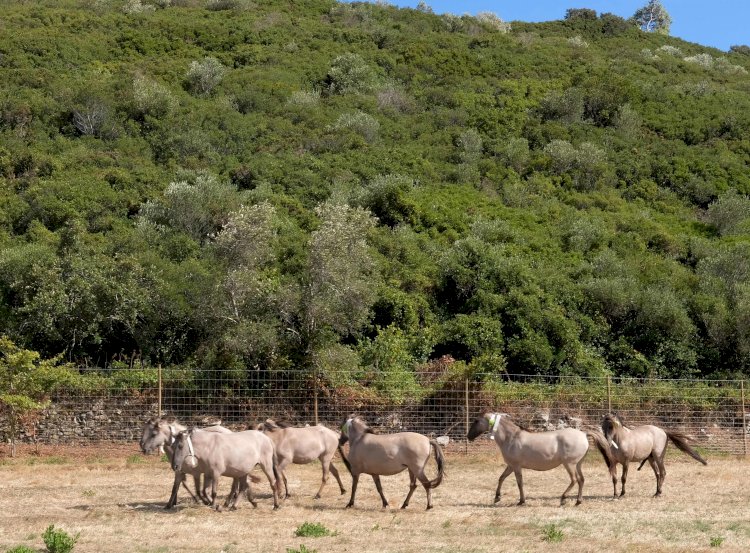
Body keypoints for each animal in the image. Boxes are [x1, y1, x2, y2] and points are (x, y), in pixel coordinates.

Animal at [470, 410, 616, 504]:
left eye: (476, 421)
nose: (468, 436)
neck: (511, 438)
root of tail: (584, 434)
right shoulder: (511, 465)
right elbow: (501, 478)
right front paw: (497, 497)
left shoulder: (516, 466)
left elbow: (519, 483)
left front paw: (521, 501)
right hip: (578, 464)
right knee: (581, 480)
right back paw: (578, 501)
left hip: (569, 464)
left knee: (574, 480)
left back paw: (563, 498)